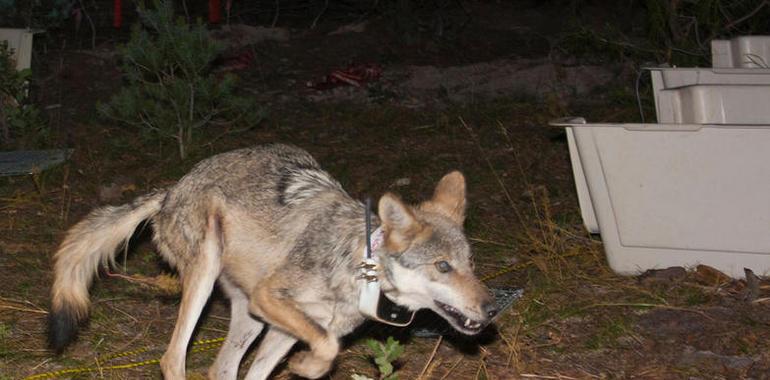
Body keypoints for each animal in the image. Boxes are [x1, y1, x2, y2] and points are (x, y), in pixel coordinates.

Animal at [51, 144, 498, 378]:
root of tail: (171, 189)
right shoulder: (273, 300)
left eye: (472, 264)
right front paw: (307, 367)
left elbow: (309, 352)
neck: (357, 269)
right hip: (209, 278)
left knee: (221, 368)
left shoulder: (283, 328)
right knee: (173, 358)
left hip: (248, 317)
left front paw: (304, 366)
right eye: (443, 267)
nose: (493, 309)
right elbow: (327, 348)